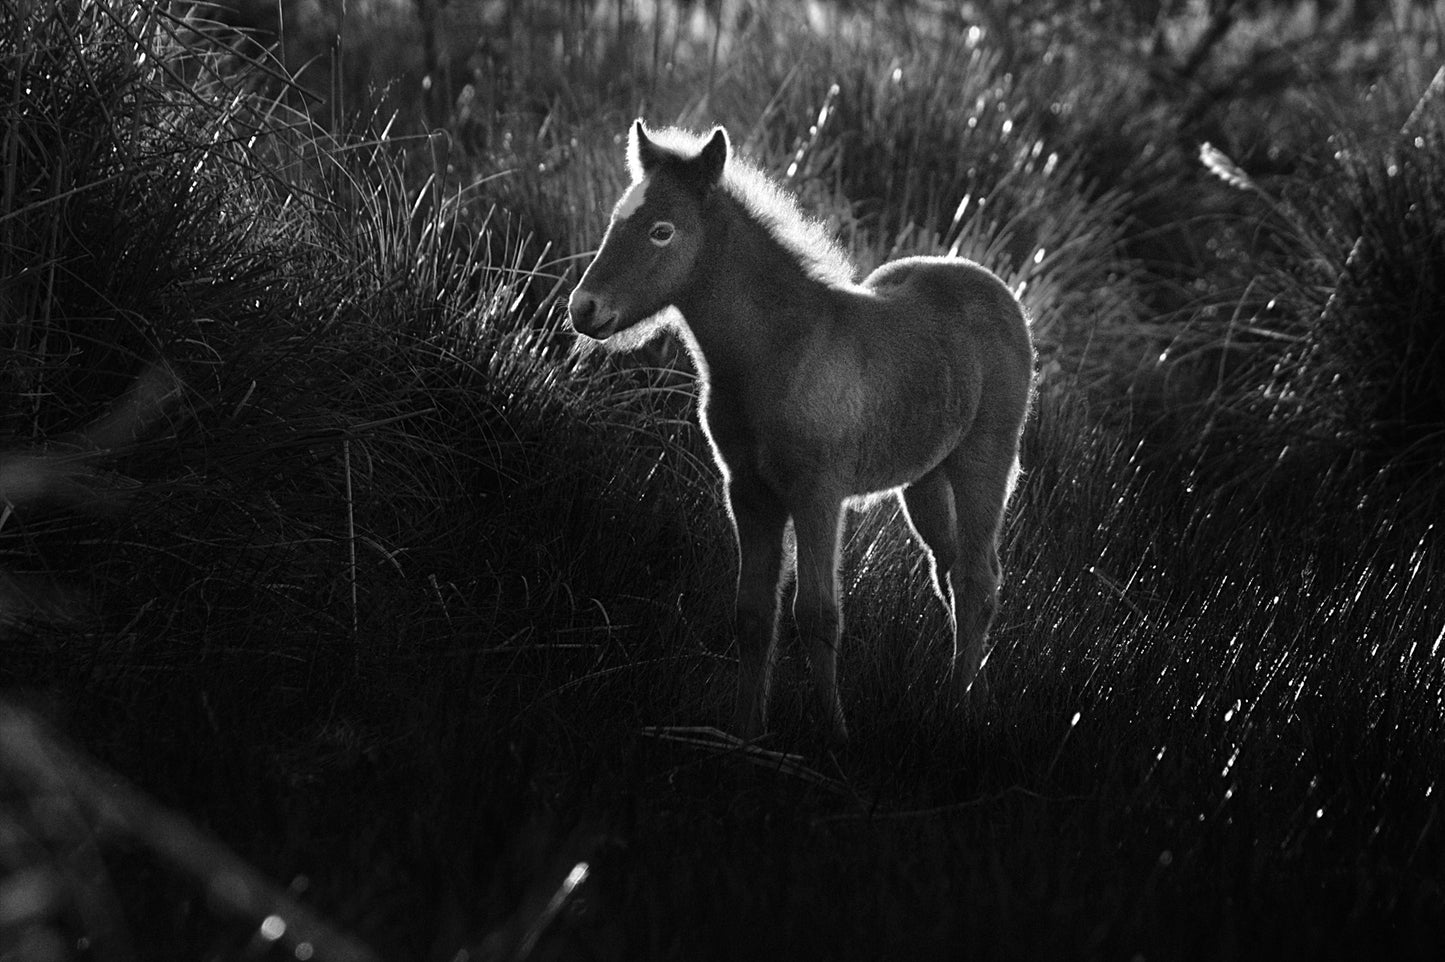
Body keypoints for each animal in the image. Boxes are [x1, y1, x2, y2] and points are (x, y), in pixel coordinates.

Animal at [568, 120, 1034, 744]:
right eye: (617, 219)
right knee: (955, 574)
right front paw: (746, 733)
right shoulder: (747, 491)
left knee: (978, 581)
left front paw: (835, 737)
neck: (777, 351)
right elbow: (752, 613)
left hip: (983, 461)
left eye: (661, 231)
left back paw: (961, 711)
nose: (583, 309)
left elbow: (817, 615)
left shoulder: (818, 495)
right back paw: (974, 698)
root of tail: (999, 291)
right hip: (925, 479)